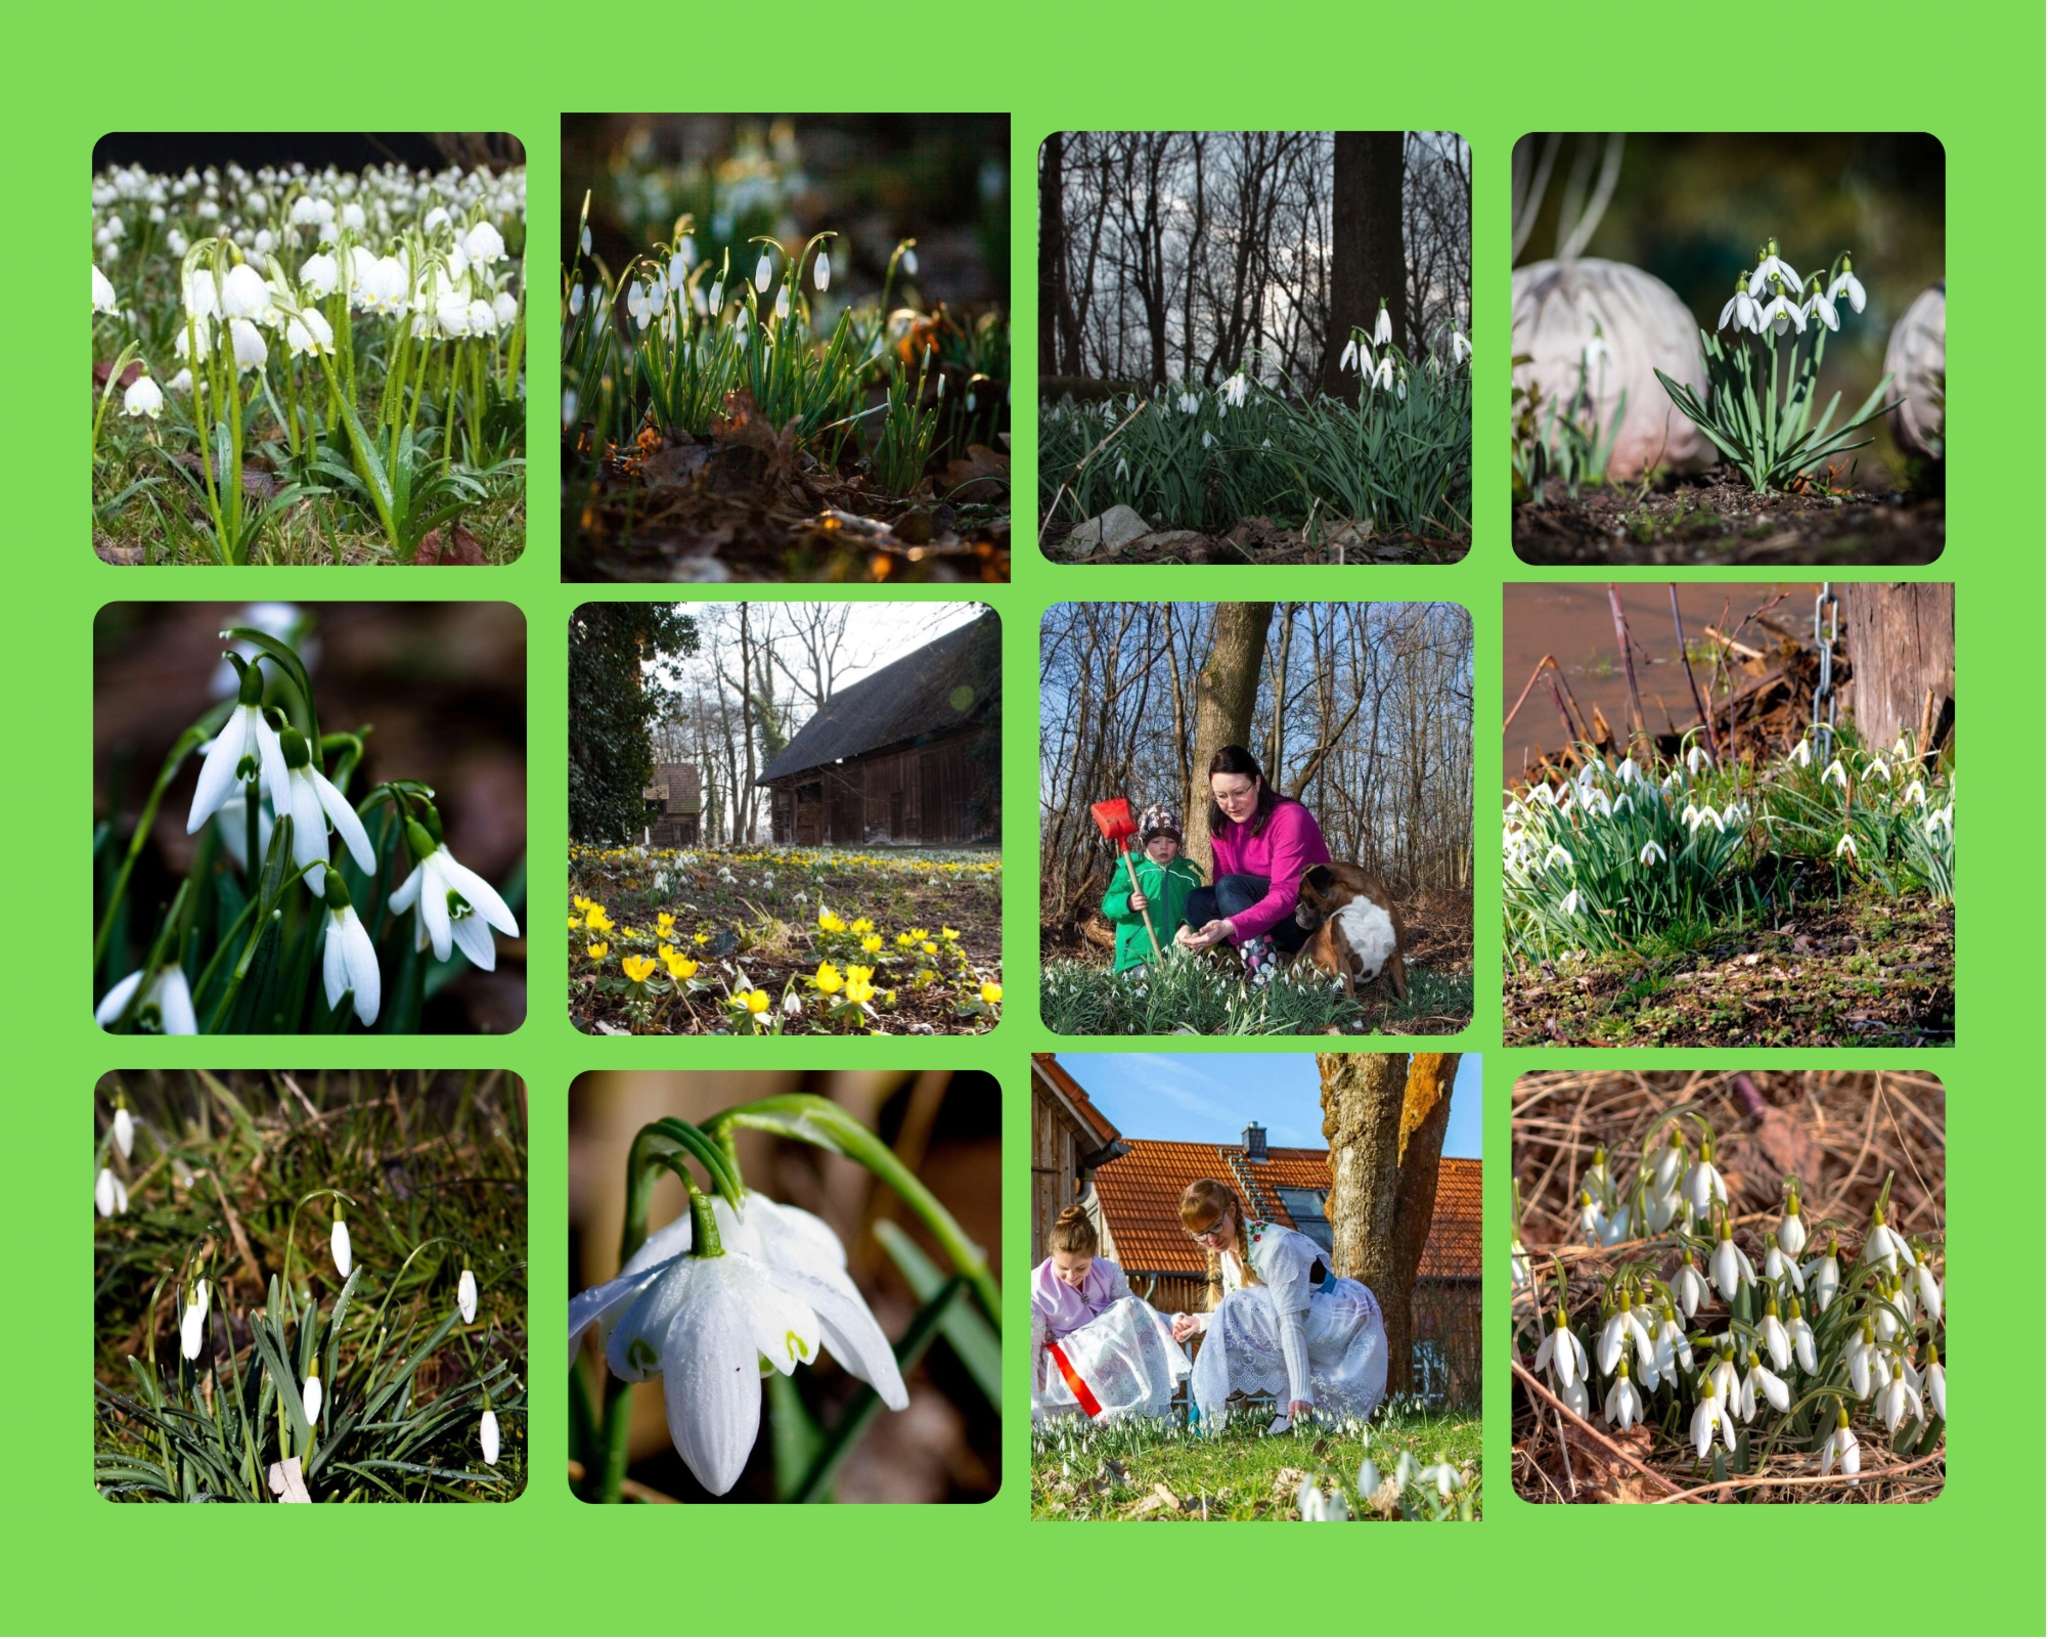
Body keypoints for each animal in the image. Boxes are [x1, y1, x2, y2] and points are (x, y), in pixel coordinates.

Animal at [1294, 868, 1409, 999]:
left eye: (1305, 898)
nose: (1296, 910)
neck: (1362, 912)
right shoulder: (1344, 960)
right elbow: (1349, 991)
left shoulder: (1395, 955)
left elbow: (1401, 988)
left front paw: (1406, 1003)